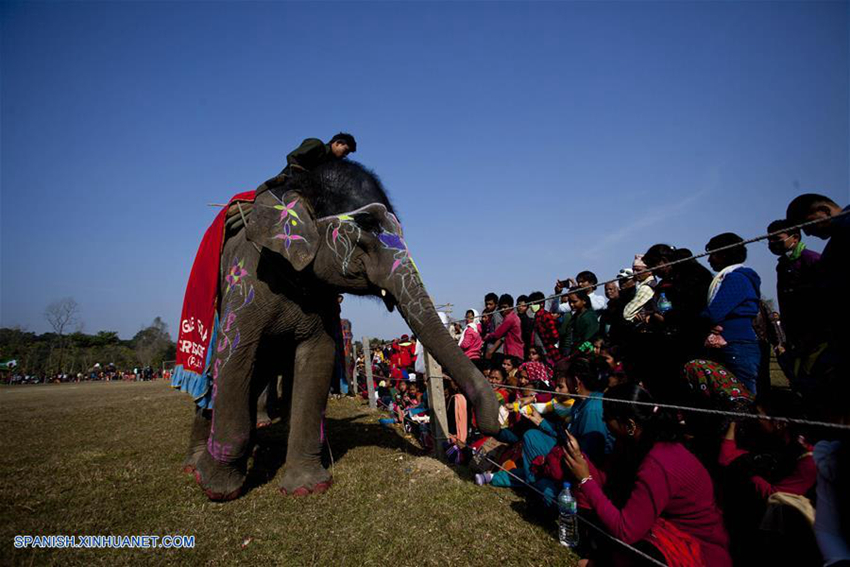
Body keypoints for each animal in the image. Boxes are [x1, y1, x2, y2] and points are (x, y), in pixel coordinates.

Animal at [180, 160, 496, 502]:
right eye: (367, 225)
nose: (491, 426)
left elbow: (318, 356)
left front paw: (307, 487)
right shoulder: (247, 281)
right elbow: (237, 356)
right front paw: (218, 490)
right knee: (218, 374)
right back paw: (194, 466)